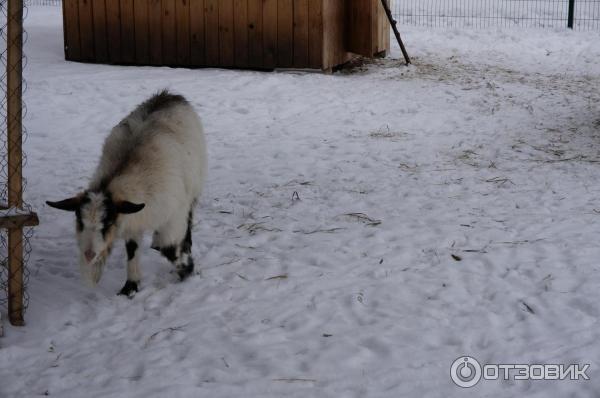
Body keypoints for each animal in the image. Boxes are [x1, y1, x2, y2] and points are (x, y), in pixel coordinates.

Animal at [46, 90, 206, 296]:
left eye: (107, 223)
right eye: (80, 221)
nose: (89, 254)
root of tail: (169, 95)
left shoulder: (174, 214)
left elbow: (169, 248)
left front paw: (187, 270)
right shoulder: (134, 220)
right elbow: (132, 250)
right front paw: (130, 286)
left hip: (193, 188)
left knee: (188, 222)